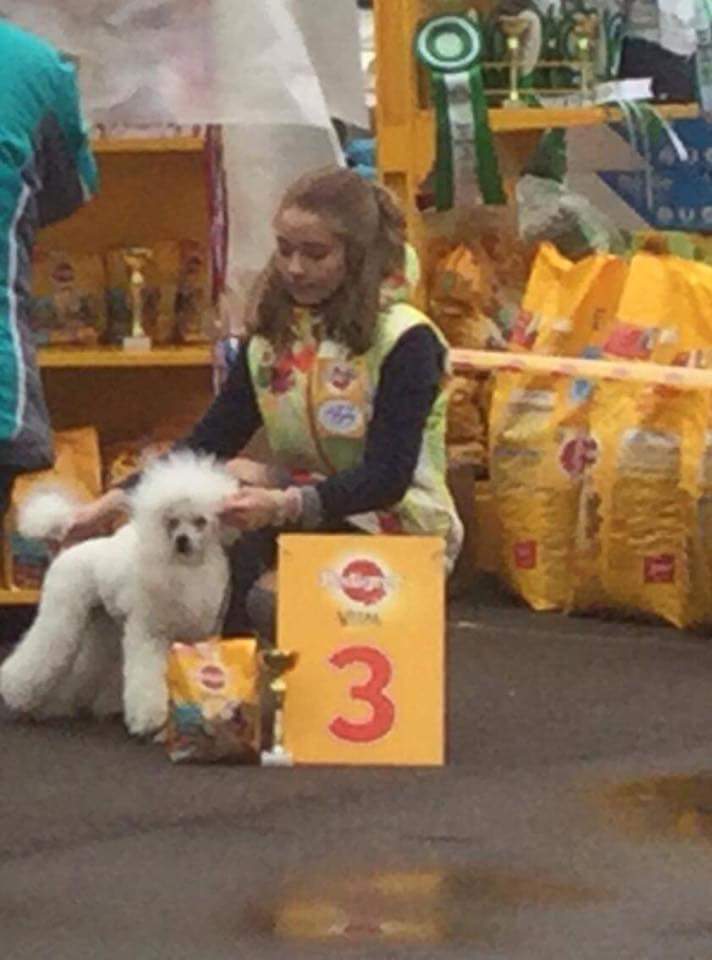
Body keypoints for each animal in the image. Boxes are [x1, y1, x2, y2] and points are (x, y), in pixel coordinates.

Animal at [0, 451, 238, 737]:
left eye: (201, 521)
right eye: (171, 522)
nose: (182, 540)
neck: (185, 569)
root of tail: (67, 551)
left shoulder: (198, 635)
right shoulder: (148, 634)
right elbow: (146, 676)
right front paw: (148, 720)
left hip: (100, 622)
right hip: (62, 614)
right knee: (39, 655)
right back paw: (17, 695)